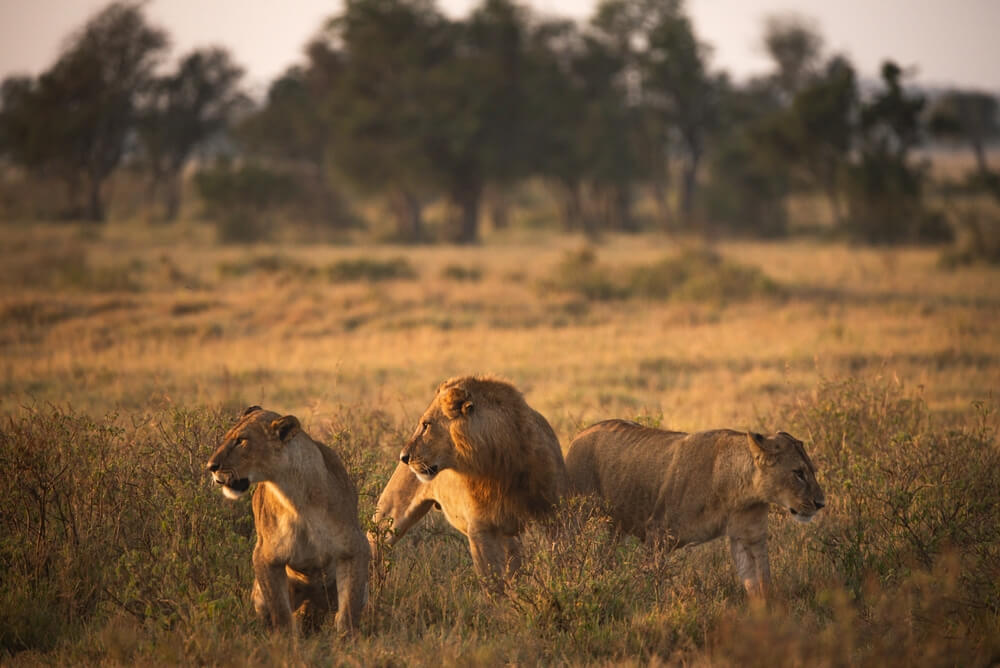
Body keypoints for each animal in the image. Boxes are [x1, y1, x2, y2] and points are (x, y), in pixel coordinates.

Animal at [206, 406, 369, 634]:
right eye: (227, 437)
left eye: (241, 441)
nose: (210, 466)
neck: (295, 497)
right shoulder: (266, 556)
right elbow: (281, 613)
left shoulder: (355, 548)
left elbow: (348, 611)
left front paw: (347, 638)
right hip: (260, 595)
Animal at [371, 375, 567, 589]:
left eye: (426, 425)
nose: (403, 457)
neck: (499, 465)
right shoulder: (480, 530)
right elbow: (493, 586)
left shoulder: (555, 516)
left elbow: (561, 560)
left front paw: (561, 585)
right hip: (390, 514)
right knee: (373, 541)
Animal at [565, 420, 825, 597]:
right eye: (798, 473)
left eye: (811, 470)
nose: (821, 503)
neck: (738, 490)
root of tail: (580, 433)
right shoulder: (657, 533)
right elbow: (651, 581)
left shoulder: (749, 537)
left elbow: (759, 579)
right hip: (577, 516)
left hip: (615, 527)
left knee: (604, 557)